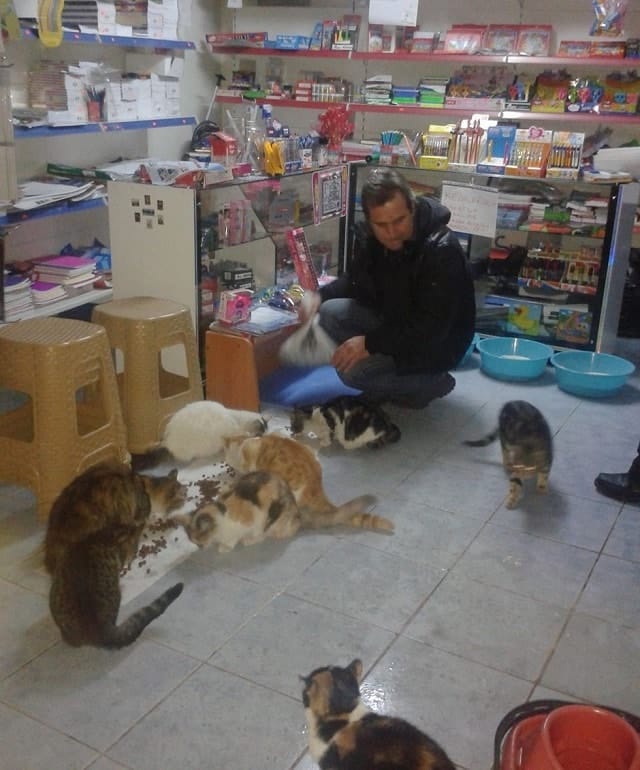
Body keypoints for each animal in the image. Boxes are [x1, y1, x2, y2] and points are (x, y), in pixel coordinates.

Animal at [169, 464, 302, 548]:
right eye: (194, 541)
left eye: (200, 538)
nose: (200, 547)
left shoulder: (252, 522)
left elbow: (244, 536)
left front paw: (224, 548)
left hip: (273, 521)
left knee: (265, 533)